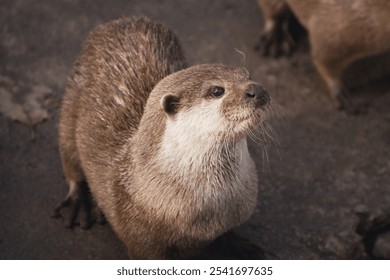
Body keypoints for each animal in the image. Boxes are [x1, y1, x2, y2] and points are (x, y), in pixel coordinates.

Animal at [54, 16, 272, 260]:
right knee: (69, 154)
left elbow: (227, 233)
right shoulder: (141, 237)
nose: (257, 90)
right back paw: (79, 202)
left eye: (249, 77)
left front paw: (242, 246)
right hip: (72, 100)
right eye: (217, 91)